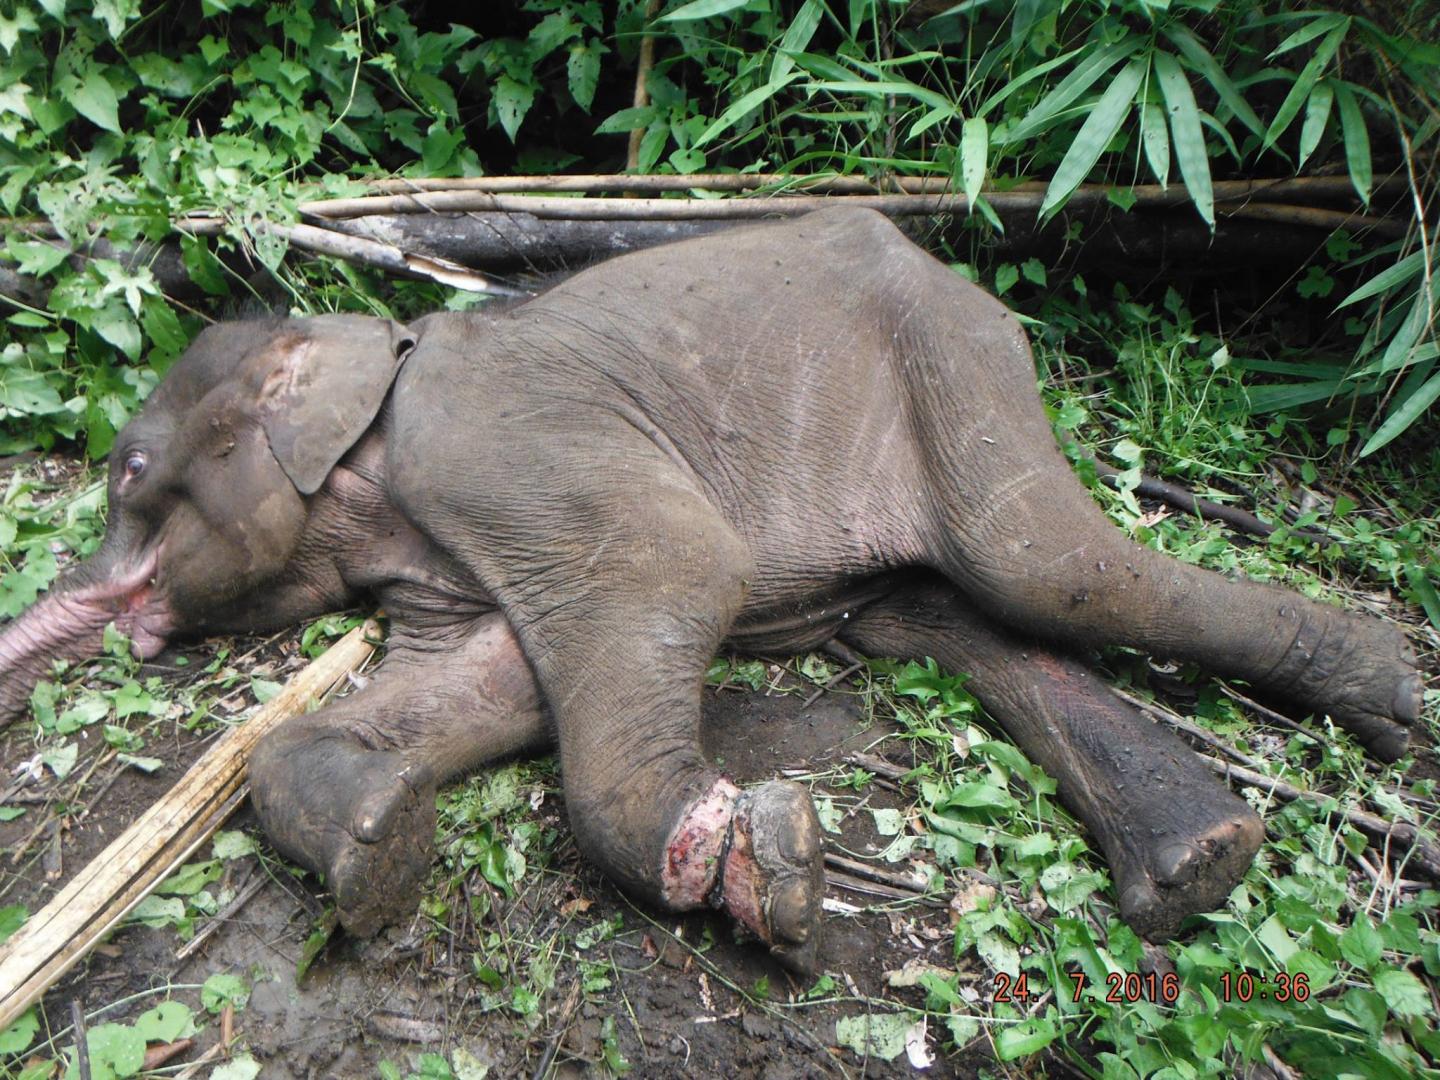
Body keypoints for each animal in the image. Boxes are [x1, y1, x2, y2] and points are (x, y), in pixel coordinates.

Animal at [0, 206, 1421, 973]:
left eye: (133, 474)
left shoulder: (491, 437)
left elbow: (674, 566)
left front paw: (766, 867)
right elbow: (495, 684)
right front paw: (381, 839)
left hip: (950, 362)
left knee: (1042, 568)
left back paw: (1388, 697)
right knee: (954, 620)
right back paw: (1203, 860)